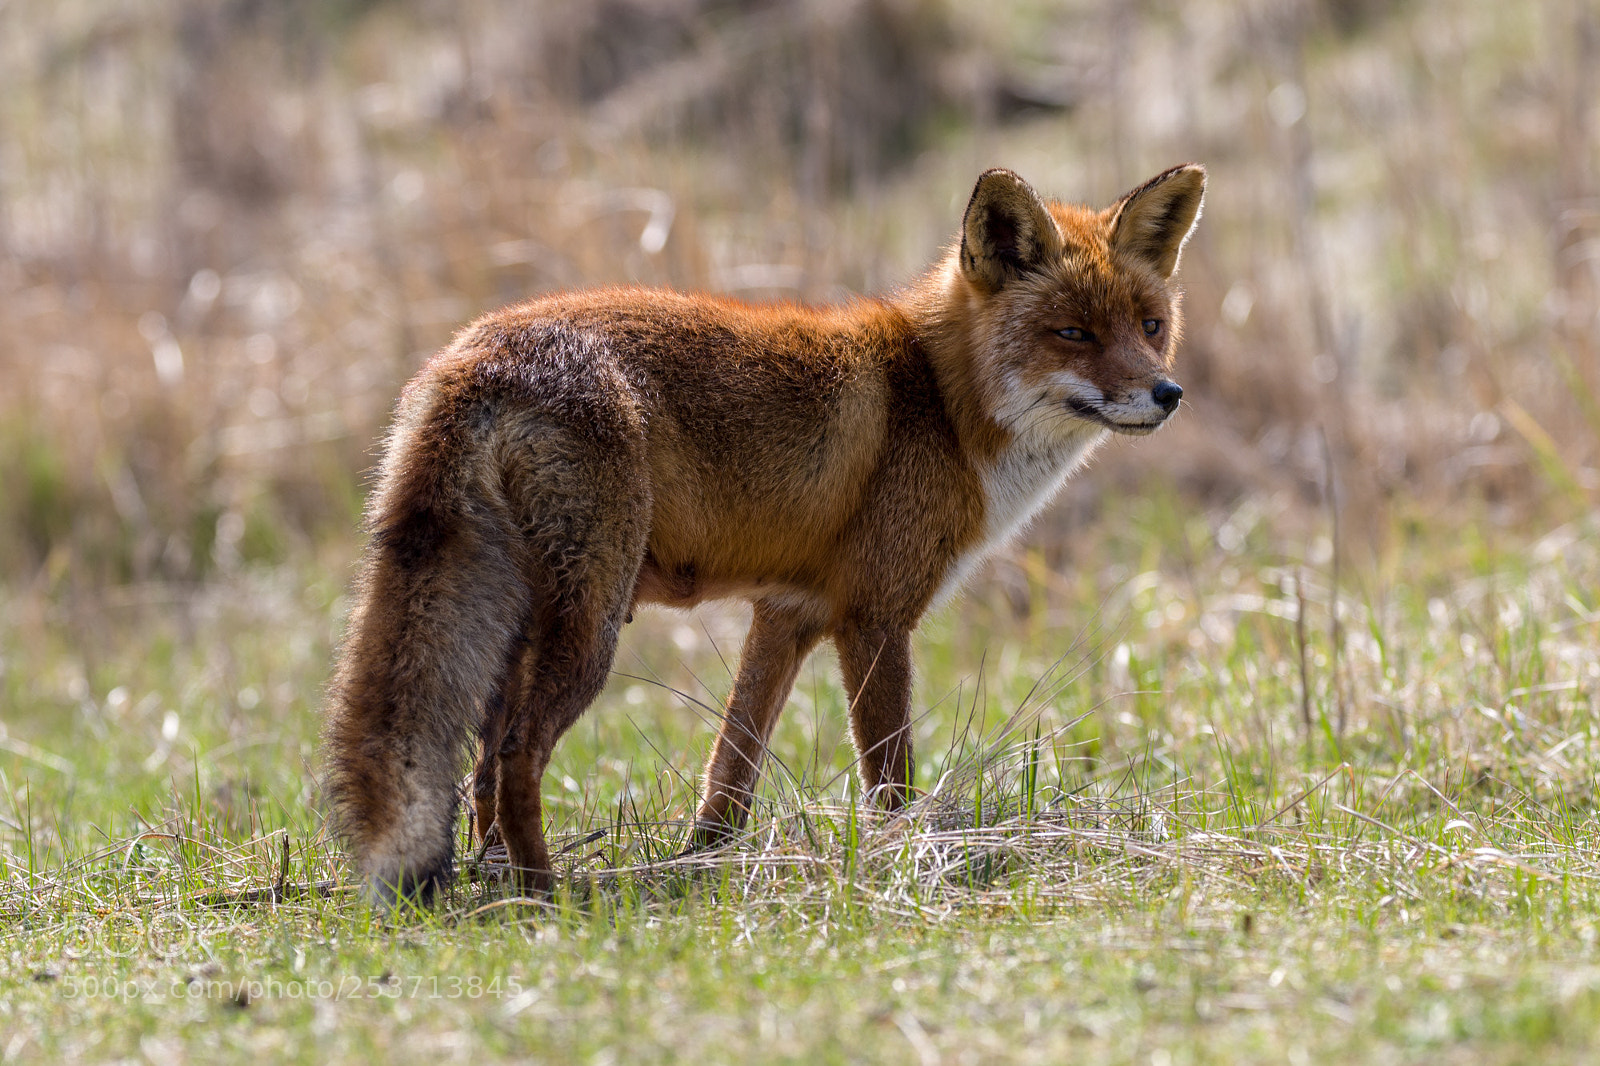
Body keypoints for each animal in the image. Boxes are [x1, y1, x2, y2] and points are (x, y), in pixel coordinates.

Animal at [322, 163, 1206, 903]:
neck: (941, 403)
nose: (1166, 394)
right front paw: (902, 862)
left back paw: (499, 880)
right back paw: (549, 895)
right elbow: (890, 778)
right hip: (591, 624)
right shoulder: (875, 618)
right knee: (514, 755)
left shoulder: (787, 615)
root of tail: (479, 352)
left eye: (1150, 326)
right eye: (1074, 334)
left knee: (480, 762)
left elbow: (730, 772)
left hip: (523, 620)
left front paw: (704, 865)